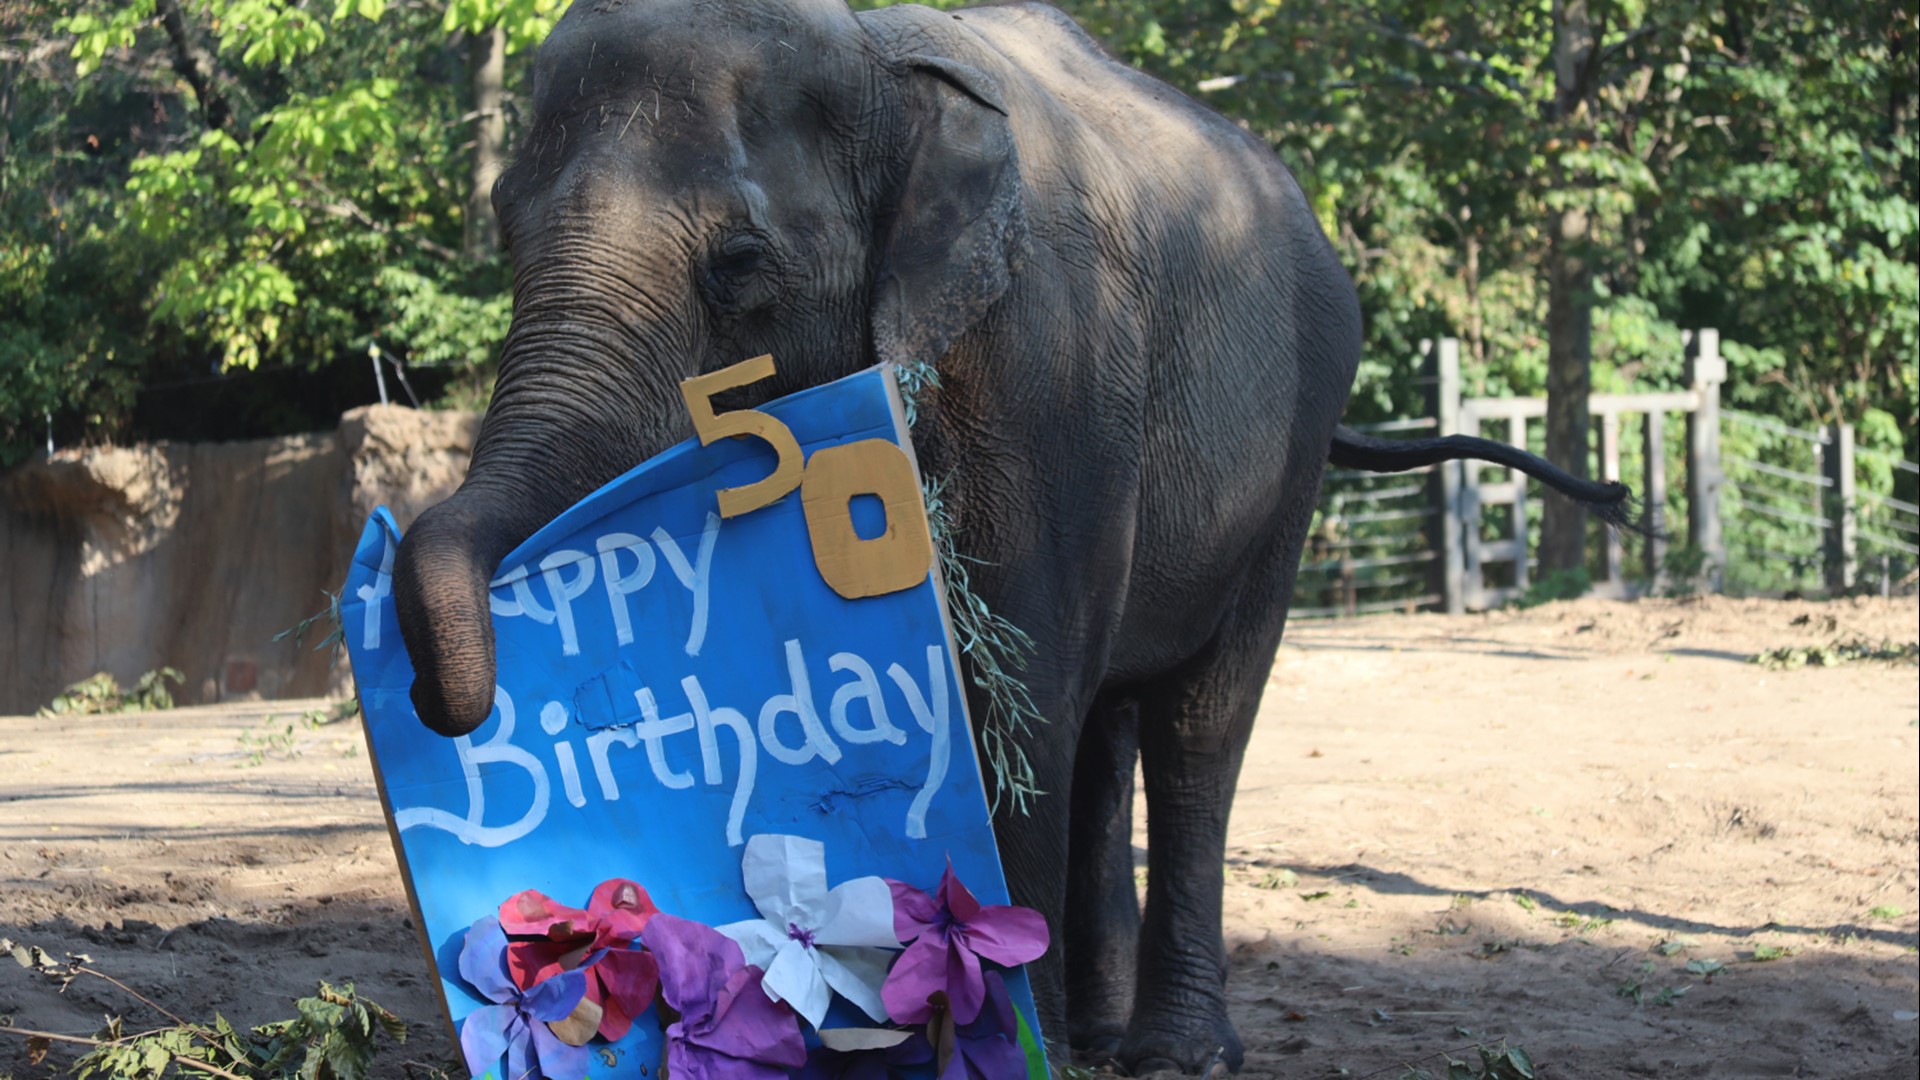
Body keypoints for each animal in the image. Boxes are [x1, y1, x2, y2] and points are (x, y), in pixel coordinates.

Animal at [393, 2, 1635, 1068]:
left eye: (738, 263)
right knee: (1109, 728)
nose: (438, 703)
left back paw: (1172, 1053)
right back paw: (1099, 1038)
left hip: (1293, 448)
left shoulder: (1051, 366)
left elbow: (1019, 682)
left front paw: (987, 1039)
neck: (878, 60)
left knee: (1195, 723)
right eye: (501, 223)